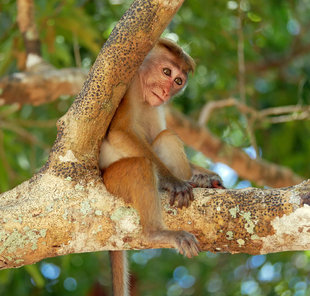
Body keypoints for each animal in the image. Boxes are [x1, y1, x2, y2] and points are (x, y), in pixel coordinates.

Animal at [100, 38, 224, 294]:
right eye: (166, 72)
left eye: (178, 81)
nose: (166, 91)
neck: (142, 91)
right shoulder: (126, 88)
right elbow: (119, 132)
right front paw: (173, 182)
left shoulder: (157, 106)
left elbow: (155, 136)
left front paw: (206, 177)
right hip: (112, 179)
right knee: (140, 165)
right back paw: (155, 233)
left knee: (166, 137)